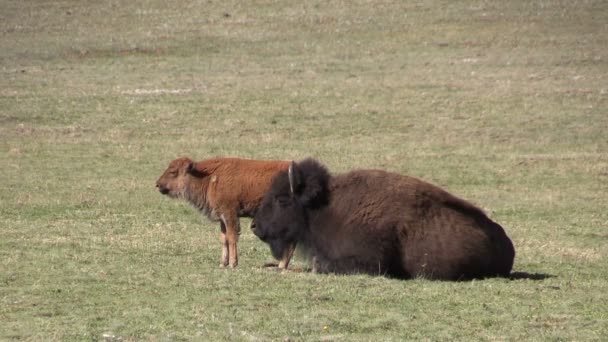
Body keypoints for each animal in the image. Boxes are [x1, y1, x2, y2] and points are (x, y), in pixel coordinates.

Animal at [156, 157, 290, 268]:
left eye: (173, 172)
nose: (157, 184)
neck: (209, 177)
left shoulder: (230, 214)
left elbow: (231, 237)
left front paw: (232, 263)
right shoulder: (222, 217)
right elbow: (223, 238)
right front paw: (222, 263)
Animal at [251, 158, 512, 280]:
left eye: (282, 199)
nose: (255, 226)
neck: (325, 207)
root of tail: (507, 245)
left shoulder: (369, 262)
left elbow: (320, 265)